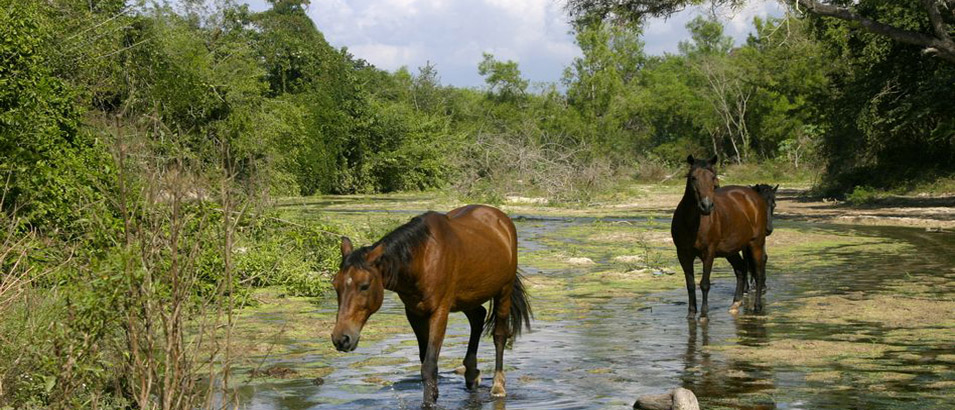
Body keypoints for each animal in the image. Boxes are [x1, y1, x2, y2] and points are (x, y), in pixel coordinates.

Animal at [332, 205, 536, 406]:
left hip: (504, 291)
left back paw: (498, 385)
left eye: (365, 285)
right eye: (335, 284)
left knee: (499, 335)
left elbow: (429, 365)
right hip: (469, 296)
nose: (341, 338)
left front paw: (429, 402)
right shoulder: (414, 313)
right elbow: (425, 359)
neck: (422, 258)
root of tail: (502, 220)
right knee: (478, 317)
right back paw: (472, 373)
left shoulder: (439, 312)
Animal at [668, 155, 772, 318]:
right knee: (741, 269)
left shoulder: (709, 252)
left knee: (758, 272)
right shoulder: (683, 254)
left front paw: (704, 314)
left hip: (756, 243)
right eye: (693, 178)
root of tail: (753, 197)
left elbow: (704, 283)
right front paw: (691, 314)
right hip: (731, 249)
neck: (692, 223)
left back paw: (757, 306)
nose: (706, 206)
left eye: (713, 177)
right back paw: (735, 304)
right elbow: (690, 284)